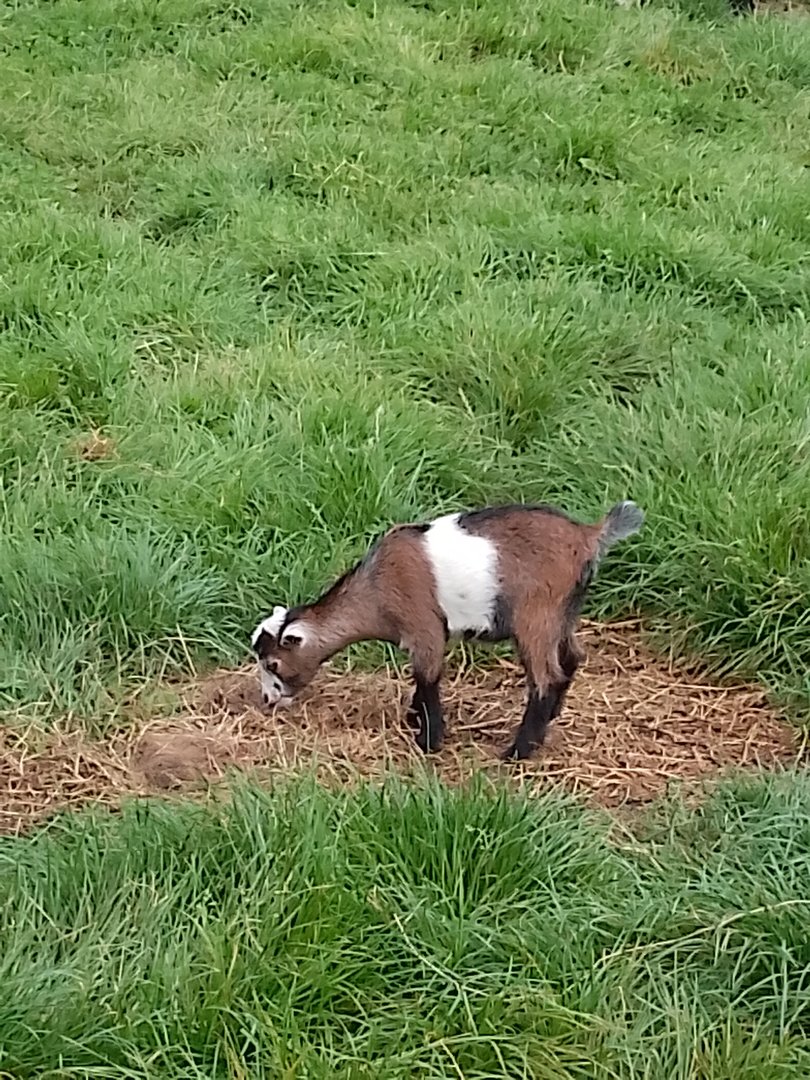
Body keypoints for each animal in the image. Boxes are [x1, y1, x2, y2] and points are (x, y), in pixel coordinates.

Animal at [251, 500, 644, 760]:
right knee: (571, 658)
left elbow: (428, 677)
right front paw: (414, 716)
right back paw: (550, 720)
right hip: (564, 612)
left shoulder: (424, 627)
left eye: (273, 665)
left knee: (547, 676)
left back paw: (519, 750)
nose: (268, 699)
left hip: (536, 614)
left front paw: (429, 739)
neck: (375, 589)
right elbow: (421, 678)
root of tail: (588, 536)